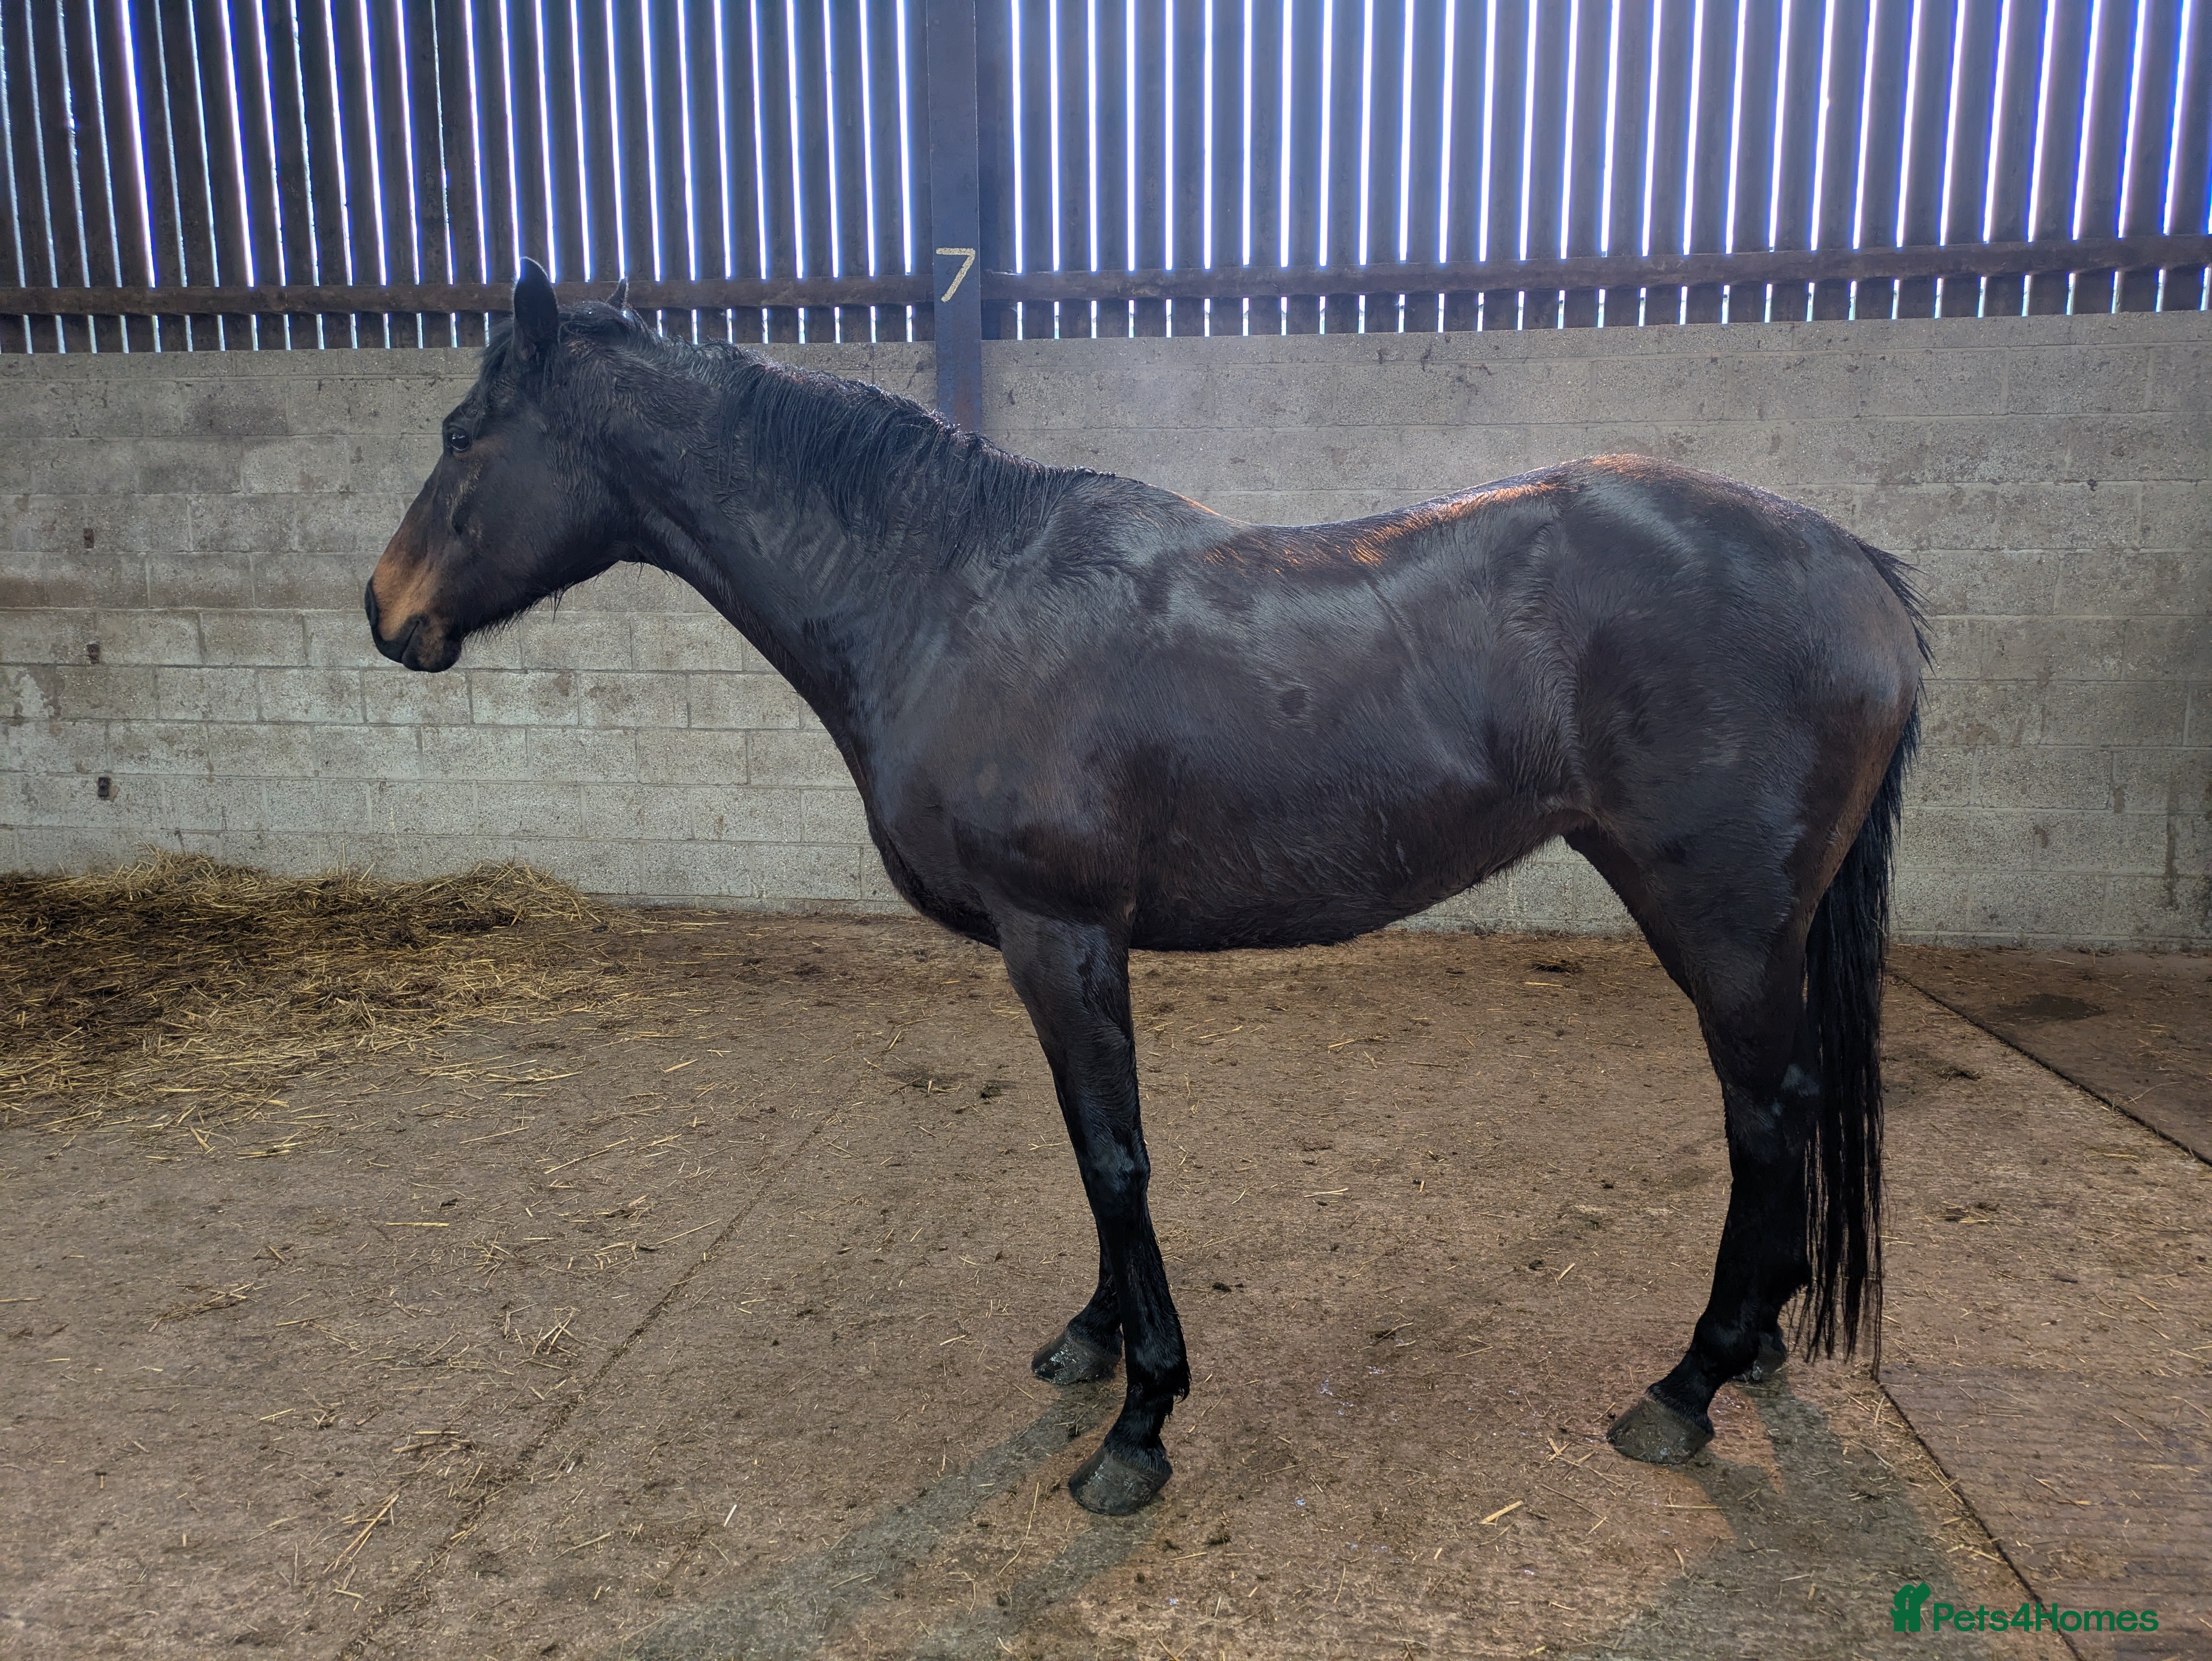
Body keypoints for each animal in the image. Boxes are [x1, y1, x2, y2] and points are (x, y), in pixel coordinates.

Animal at [367, 262, 1925, 1516]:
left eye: (462, 437)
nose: (386, 614)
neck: (950, 594)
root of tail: (1855, 568)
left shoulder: (1059, 934)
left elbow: (1115, 1159)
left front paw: (1139, 1423)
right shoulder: (1059, 948)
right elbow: (1087, 1149)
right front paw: (1094, 1340)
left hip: (1722, 925)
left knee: (1762, 1115)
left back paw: (1689, 1380)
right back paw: (1754, 1340)